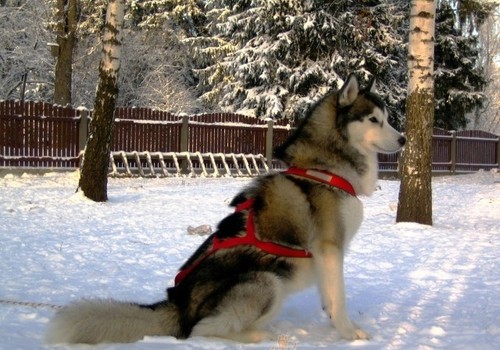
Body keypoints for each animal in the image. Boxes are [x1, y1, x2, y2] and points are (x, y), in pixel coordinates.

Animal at [45, 74, 406, 344]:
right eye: (374, 120)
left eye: (388, 119)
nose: (403, 140)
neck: (325, 167)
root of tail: (177, 306)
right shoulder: (331, 248)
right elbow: (340, 298)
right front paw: (349, 333)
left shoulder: (324, 256)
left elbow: (330, 297)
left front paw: (333, 322)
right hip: (266, 282)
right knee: (203, 332)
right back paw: (256, 336)